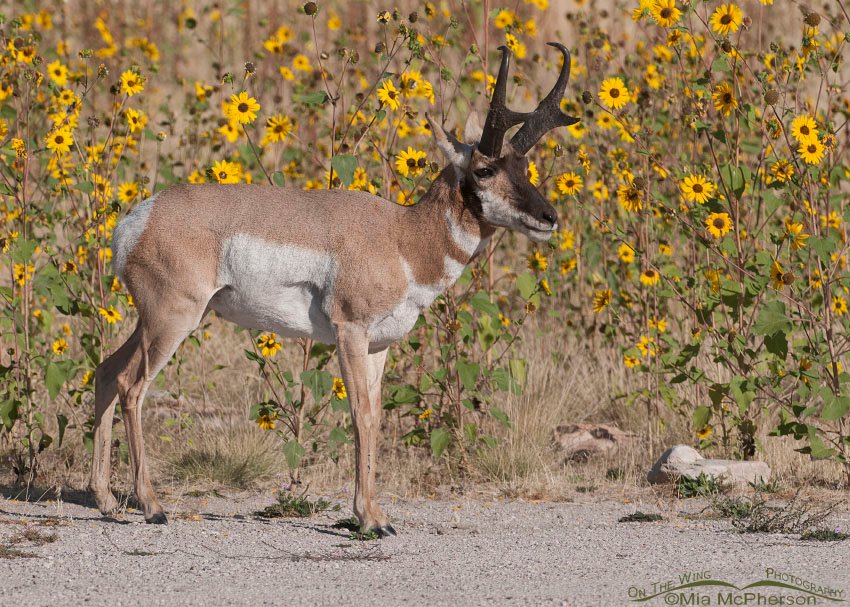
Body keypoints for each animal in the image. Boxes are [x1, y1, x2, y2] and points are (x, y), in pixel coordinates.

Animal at [90, 42, 579, 536]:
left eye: (523, 165)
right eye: (483, 169)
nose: (549, 218)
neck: (403, 237)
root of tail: (139, 219)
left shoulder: (380, 346)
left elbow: (376, 418)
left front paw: (377, 514)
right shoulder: (350, 331)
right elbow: (359, 413)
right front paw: (369, 521)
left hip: (155, 321)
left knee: (107, 371)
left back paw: (107, 500)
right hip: (172, 320)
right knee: (132, 387)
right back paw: (151, 506)